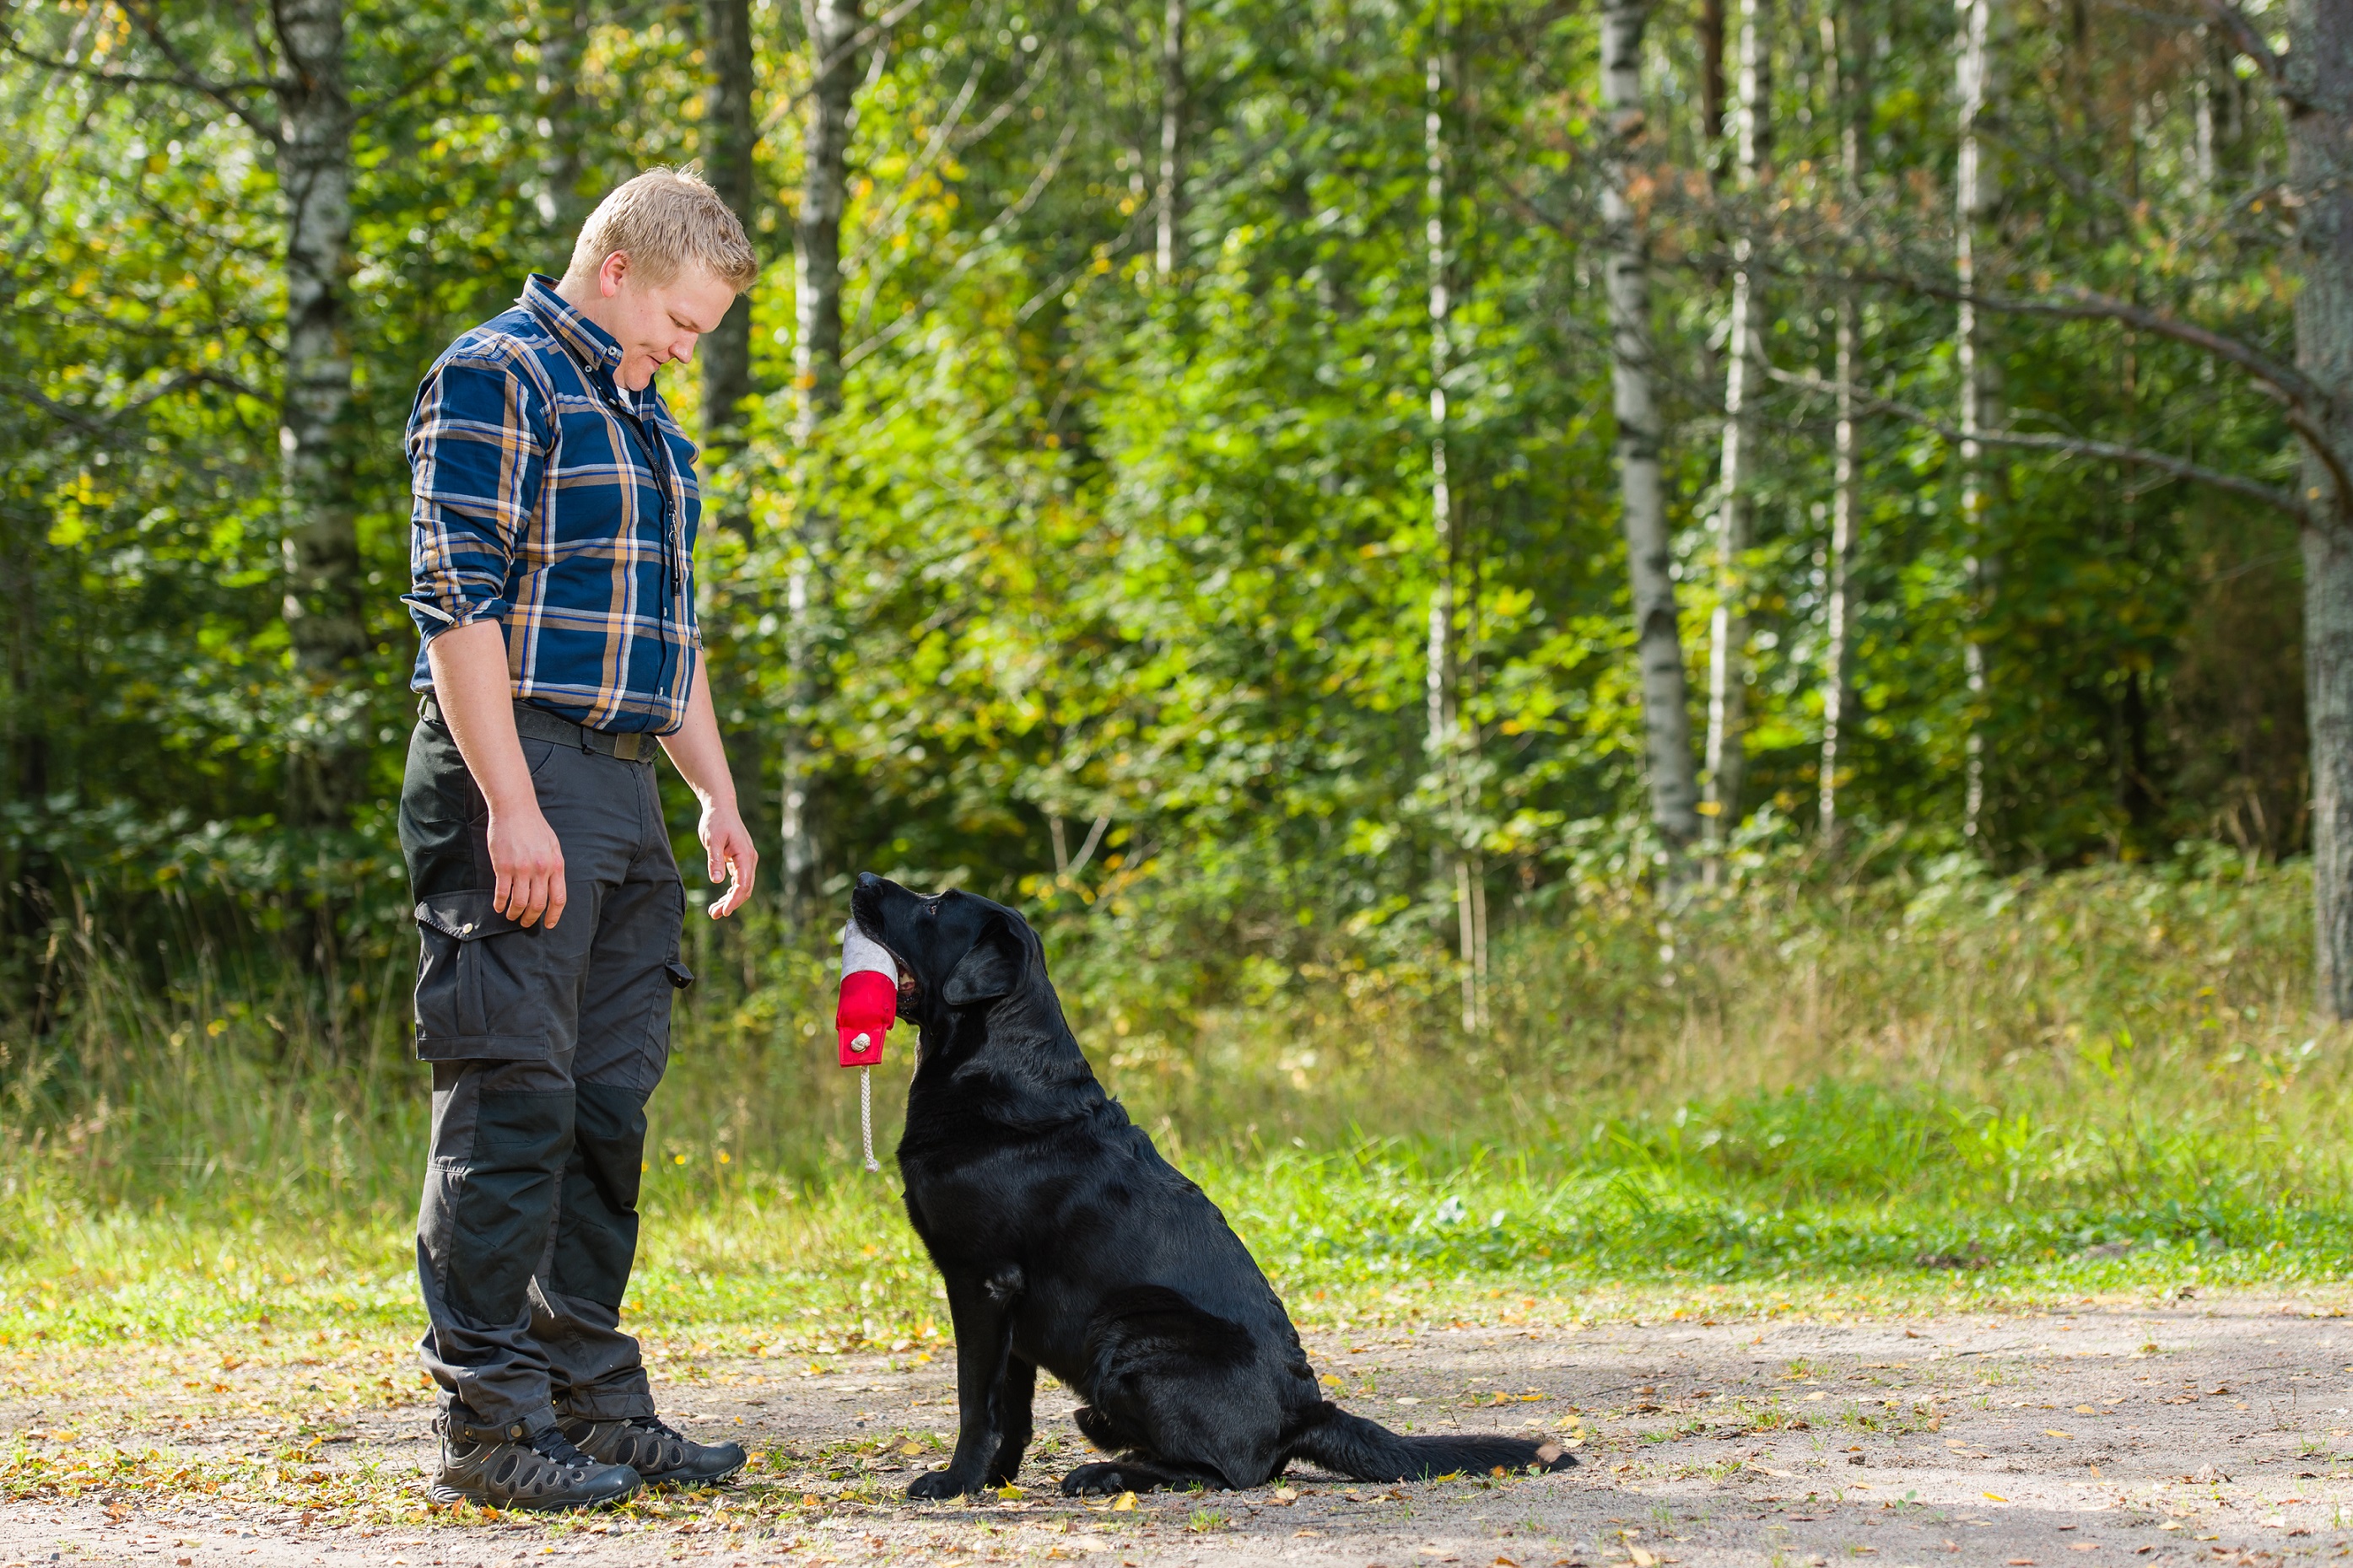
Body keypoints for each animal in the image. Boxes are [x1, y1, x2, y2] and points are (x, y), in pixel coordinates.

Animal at [837, 879, 1572, 1504]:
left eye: (934, 906)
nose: (864, 878)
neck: (996, 1063)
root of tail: (1306, 1409)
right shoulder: (1009, 1309)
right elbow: (1009, 1409)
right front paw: (994, 1481)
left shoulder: (981, 1280)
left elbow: (974, 1399)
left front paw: (954, 1482)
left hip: (1130, 1331)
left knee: (1229, 1471)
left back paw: (1107, 1473)